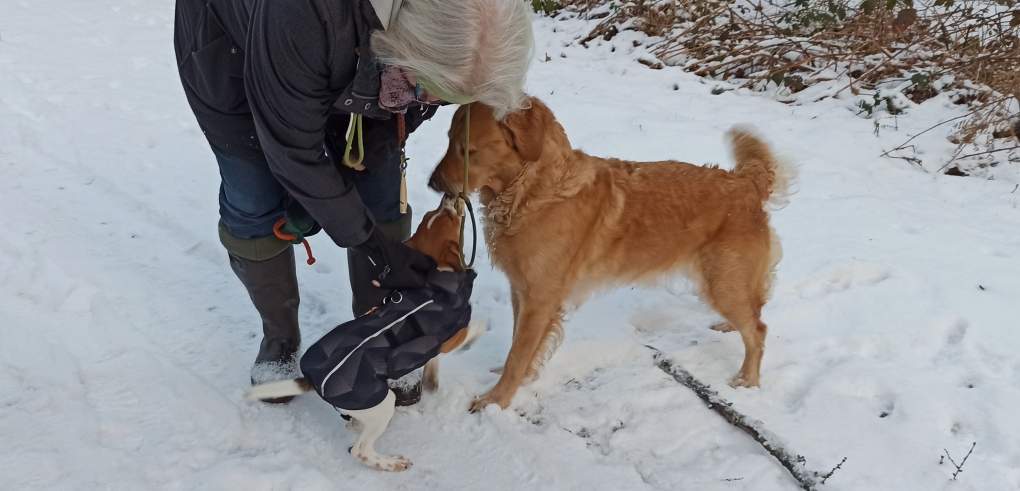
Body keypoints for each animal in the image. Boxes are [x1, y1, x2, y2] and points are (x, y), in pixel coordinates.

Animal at [246, 194, 485, 471]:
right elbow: (469, 330)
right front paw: (482, 327)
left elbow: (432, 360)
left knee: (354, 425)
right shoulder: (450, 336)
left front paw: (431, 379)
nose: (449, 196)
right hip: (381, 404)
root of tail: (312, 381)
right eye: (448, 217)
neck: (436, 280)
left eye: (431, 215)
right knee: (360, 450)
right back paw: (391, 463)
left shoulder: (435, 345)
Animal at [426, 95, 791, 410]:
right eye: (448, 141)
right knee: (753, 312)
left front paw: (497, 400)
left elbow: (518, 355)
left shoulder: (540, 300)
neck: (533, 191)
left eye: (467, 150)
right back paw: (730, 328)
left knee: (758, 330)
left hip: (722, 283)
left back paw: (747, 379)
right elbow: (519, 346)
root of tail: (745, 182)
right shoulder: (523, 292)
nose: (432, 184)